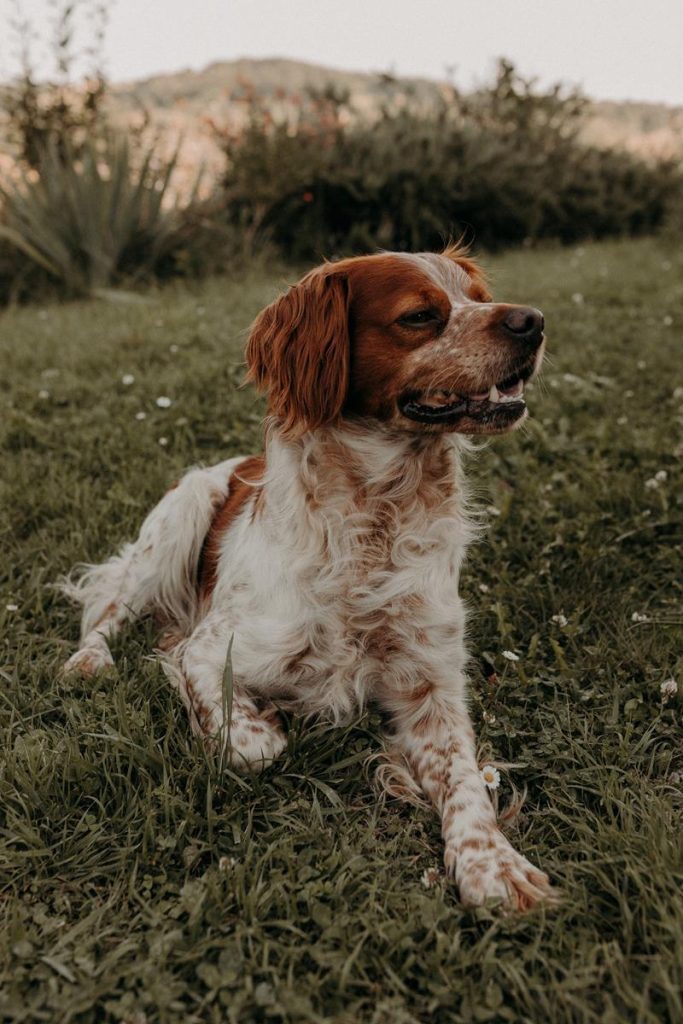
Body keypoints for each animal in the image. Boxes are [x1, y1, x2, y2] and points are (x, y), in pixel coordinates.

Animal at [62, 247, 557, 913]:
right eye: (420, 315)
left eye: (478, 297)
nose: (532, 321)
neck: (374, 519)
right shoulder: (211, 646)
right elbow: (243, 735)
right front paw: (260, 727)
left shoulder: (431, 684)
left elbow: (464, 776)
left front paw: (495, 864)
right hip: (177, 521)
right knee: (108, 610)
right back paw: (87, 662)